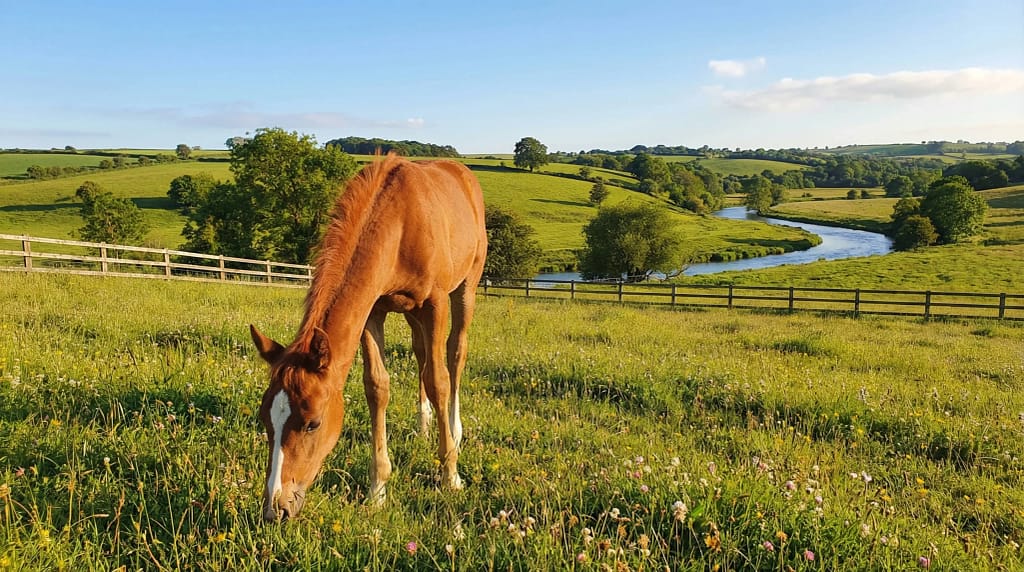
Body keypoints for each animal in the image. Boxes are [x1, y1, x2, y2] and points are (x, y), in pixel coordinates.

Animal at [249, 153, 487, 522]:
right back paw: (424, 425)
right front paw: (378, 489)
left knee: (454, 354)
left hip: (465, 289)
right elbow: (377, 387)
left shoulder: (434, 303)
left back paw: (455, 430)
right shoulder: (372, 309)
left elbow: (439, 381)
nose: (277, 509)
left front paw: (450, 474)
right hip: (411, 313)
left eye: (313, 423)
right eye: (265, 419)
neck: (400, 224)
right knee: (421, 354)